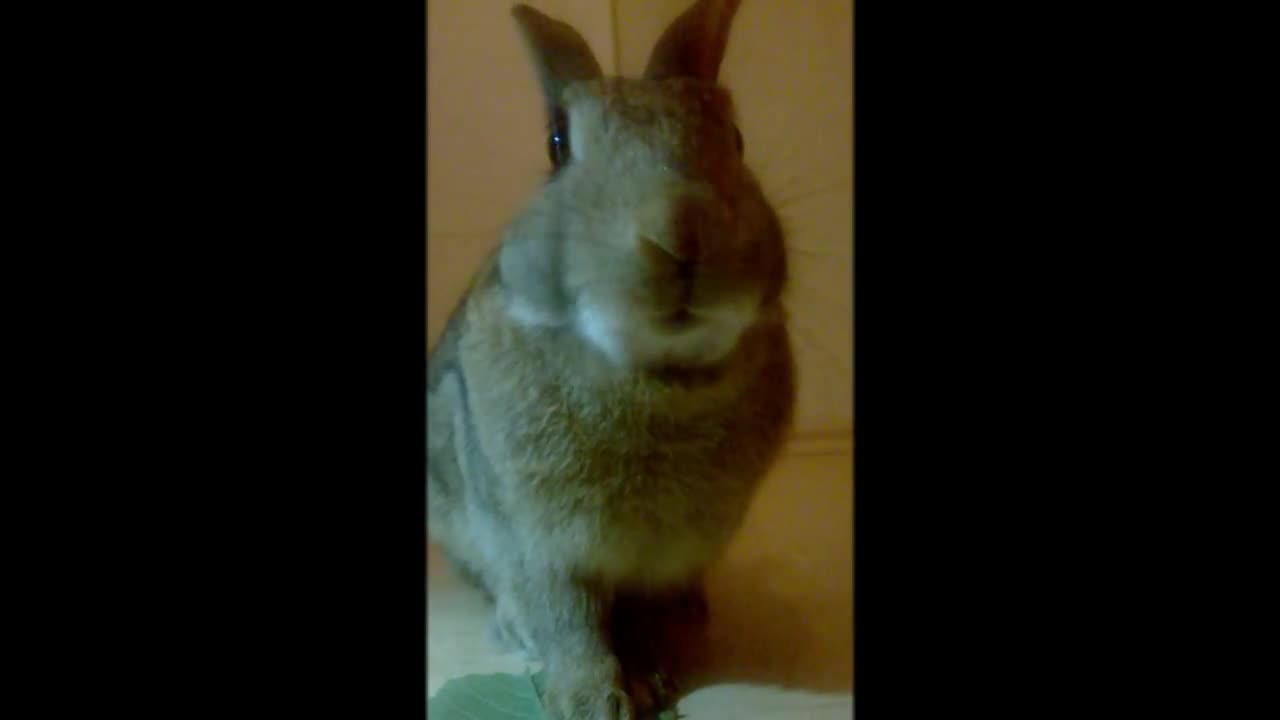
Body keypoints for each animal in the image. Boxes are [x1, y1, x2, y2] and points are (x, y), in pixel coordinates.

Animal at [427, 2, 788, 712]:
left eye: (735, 137)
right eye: (557, 145)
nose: (680, 234)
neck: (653, 376)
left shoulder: (668, 555)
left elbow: (638, 616)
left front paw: (652, 676)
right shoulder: (540, 544)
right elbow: (569, 621)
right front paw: (596, 702)